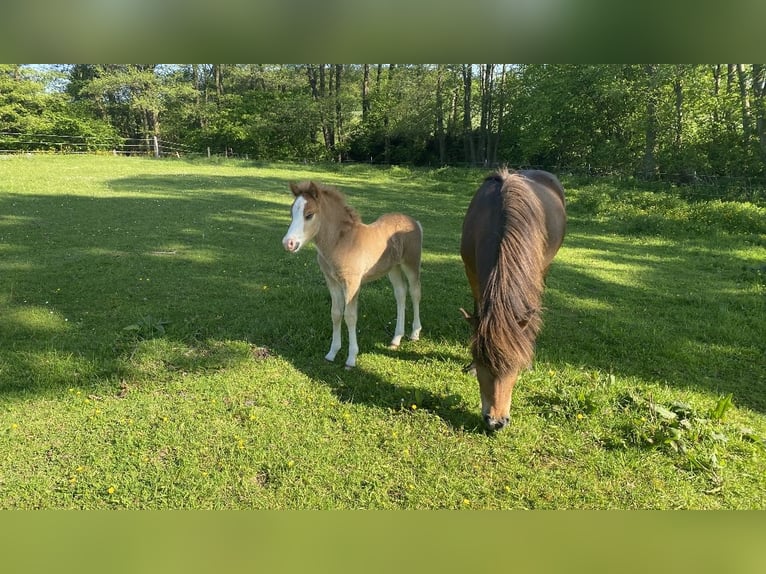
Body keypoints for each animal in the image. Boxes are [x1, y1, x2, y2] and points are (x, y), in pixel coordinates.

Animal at [284, 181, 426, 368]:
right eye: (291, 212)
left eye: (309, 215)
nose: (288, 243)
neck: (340, 243)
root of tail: (415, 221)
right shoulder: (332, 281)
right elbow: (336, 313)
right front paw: (332, 353)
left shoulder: (352, 283)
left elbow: (350, 316)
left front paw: (351, 358)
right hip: (393, 268)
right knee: (400, 294)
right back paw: (396, 339)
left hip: (411, 263)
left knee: (415, 293)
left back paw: (415, 333)